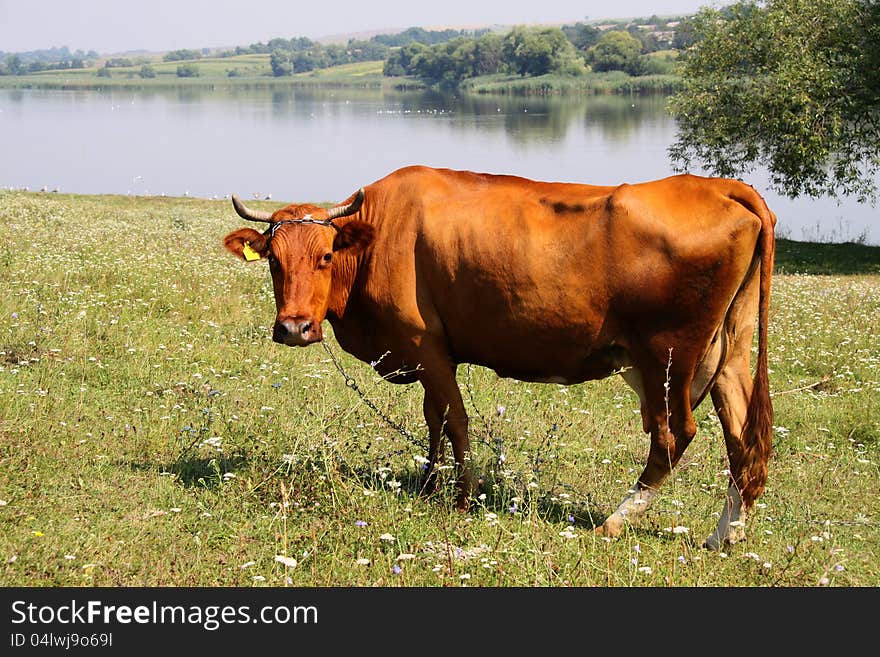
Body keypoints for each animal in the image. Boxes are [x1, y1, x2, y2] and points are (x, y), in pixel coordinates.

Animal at [223, 165, 772, 548]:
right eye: (273, 261)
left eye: (325, 256)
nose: (294, 328)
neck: (379, 235)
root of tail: (720, 186)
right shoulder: (430, 356)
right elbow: (434, 418)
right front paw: (429, 483)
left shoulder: (424, 346)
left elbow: (455, 419)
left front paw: (462, 497)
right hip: (727, 355)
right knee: (746, 441)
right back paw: (726, 534)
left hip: (667, 359)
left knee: (674, 436)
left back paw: (615, 521)